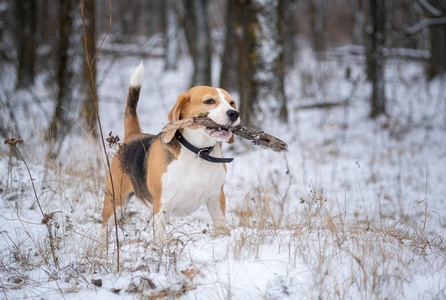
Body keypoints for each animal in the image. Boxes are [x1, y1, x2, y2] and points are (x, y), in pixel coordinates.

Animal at [101, 62, 240, 244]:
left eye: (232, 103)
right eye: (209, 101)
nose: (234, 113)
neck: (198, 153)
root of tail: (134, 135)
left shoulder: (216, 199)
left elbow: (220, 226)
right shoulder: (163, 206)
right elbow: (158, 239)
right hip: (114, 202)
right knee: (105, 229)